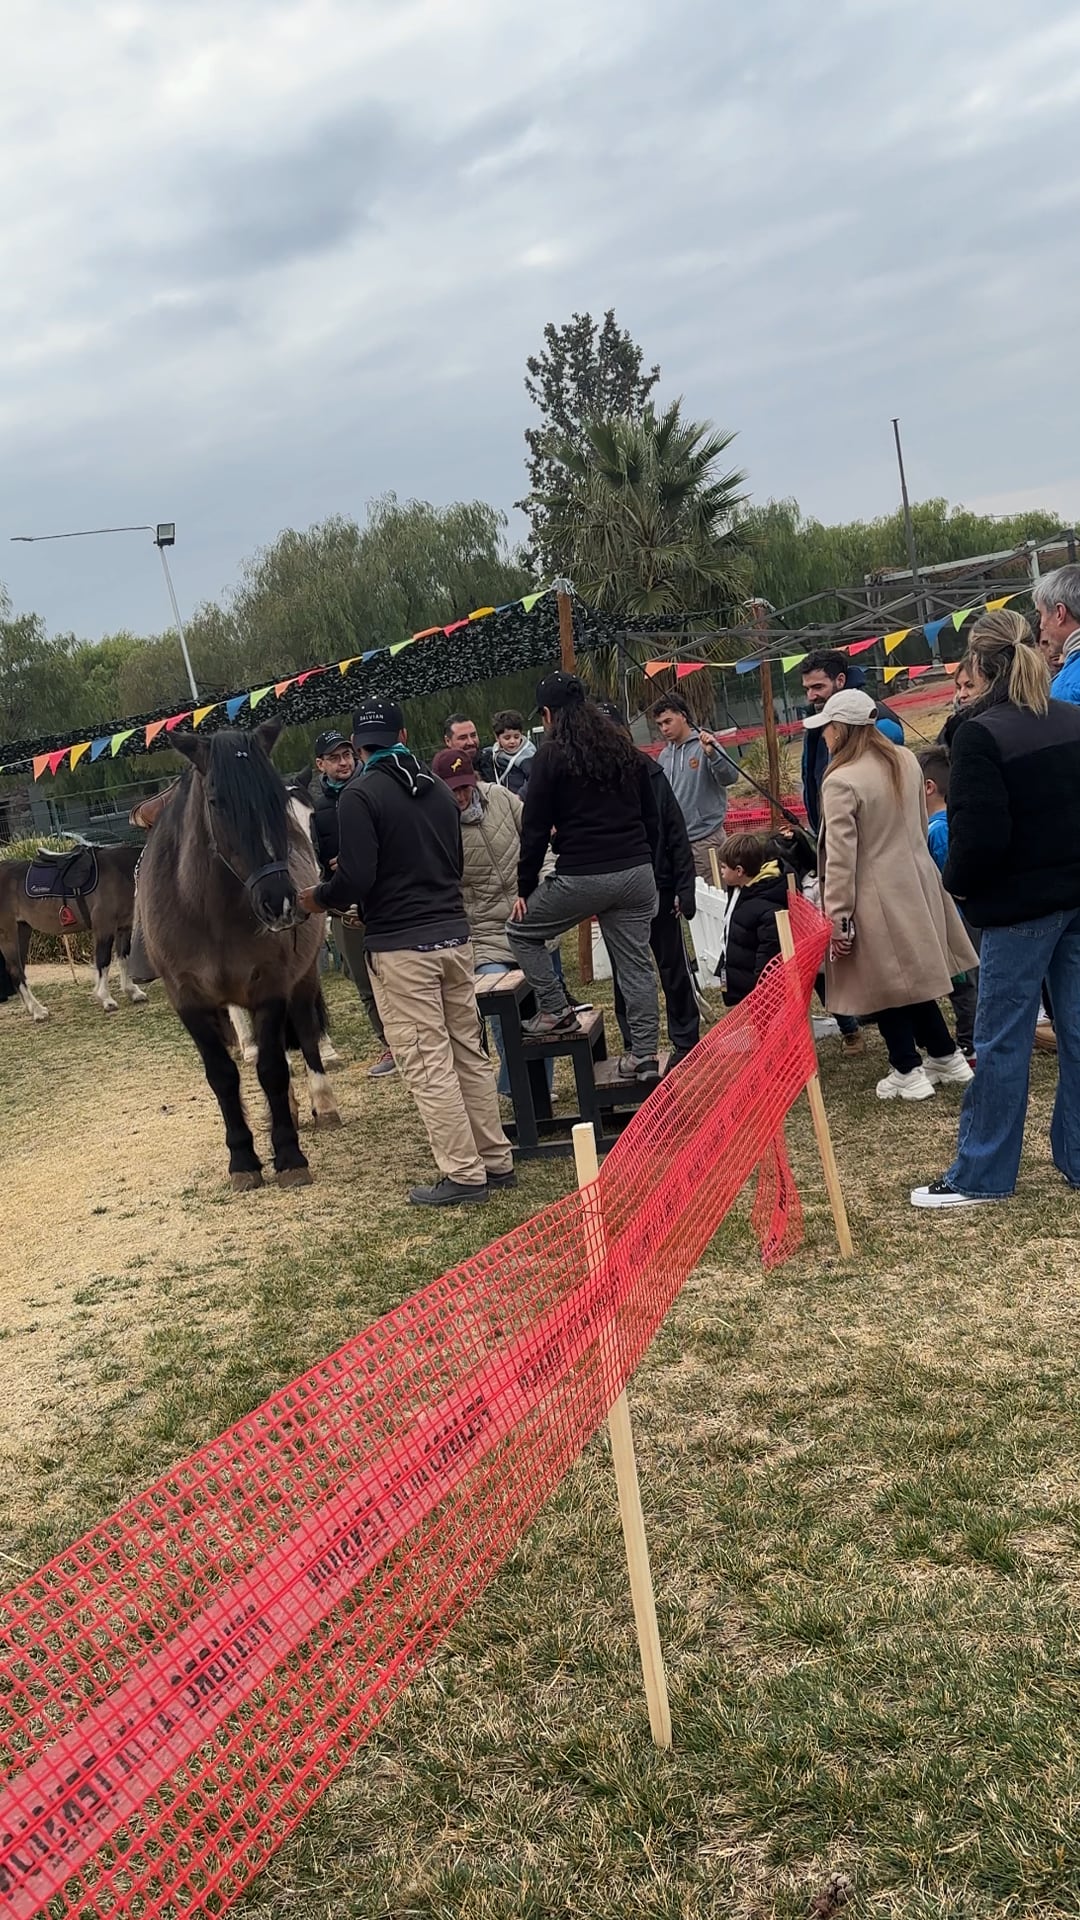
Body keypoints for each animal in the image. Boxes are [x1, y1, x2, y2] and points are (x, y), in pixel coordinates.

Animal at [0, 844, 144, 1021]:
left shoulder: (124, 927)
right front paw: (106, 999)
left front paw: (133, 991)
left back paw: (32, 1009)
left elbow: (124, 958)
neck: (120, 869)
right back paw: (39, 1011)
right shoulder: (104, 927)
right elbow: (104, 961)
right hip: (8, 933)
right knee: (16, 970)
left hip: (22, 930)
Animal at [135, 725, 336, 1190]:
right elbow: (223, 1075)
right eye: (216, 801)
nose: (280, 902)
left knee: (304, 1032)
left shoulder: (271, 987)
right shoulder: (188, 999)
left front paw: (289, 1156)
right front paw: (243, 1159)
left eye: (273, 799)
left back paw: (321, 1103)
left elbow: (272, 1068)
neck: (207, 910)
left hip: (302, 979)